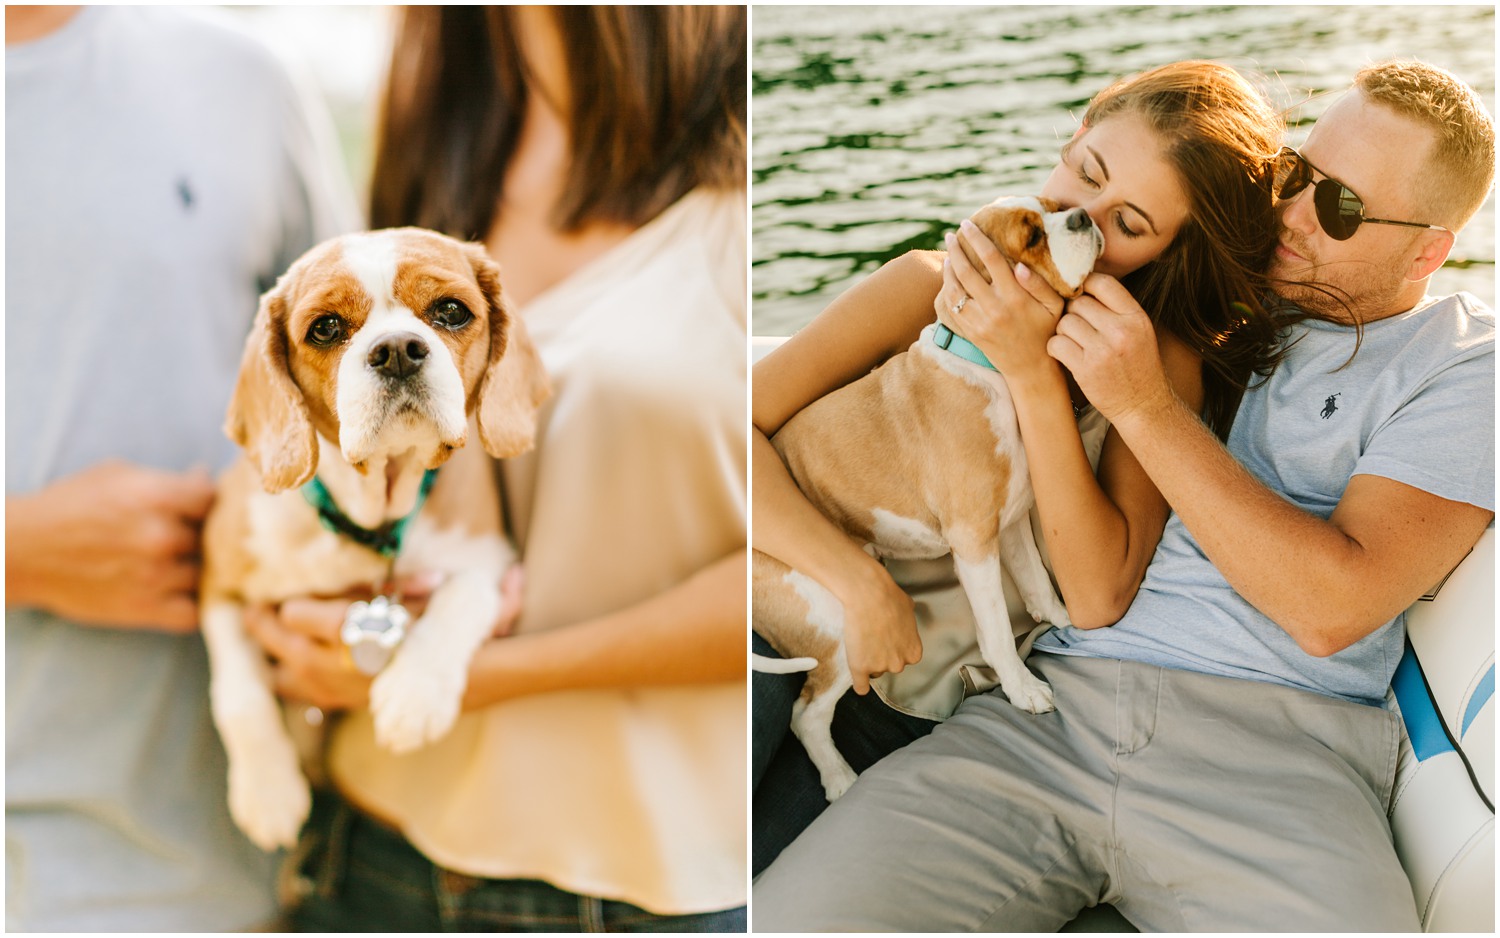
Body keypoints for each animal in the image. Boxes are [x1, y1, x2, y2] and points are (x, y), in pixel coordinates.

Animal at [199, 226, 552, 846]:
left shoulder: (490, 560)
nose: (397, 349)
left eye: (451, 311)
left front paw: (414, 693)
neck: (370, 516)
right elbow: (239, 696)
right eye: (326, 327)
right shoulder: (218, 582)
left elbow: (461, 600)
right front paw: (266, 792)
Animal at [756, 195, 1110, 798]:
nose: (1084, 216)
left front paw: (1064, 623)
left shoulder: (1010, 524)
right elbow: (997, 631)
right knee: (807, 715)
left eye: (1057, 208)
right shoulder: (975, 543)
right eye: (1032, 237)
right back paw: (840, 780)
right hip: (838, 624)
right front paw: (1022, 689)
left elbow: (1040, 588)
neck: (989, 368)